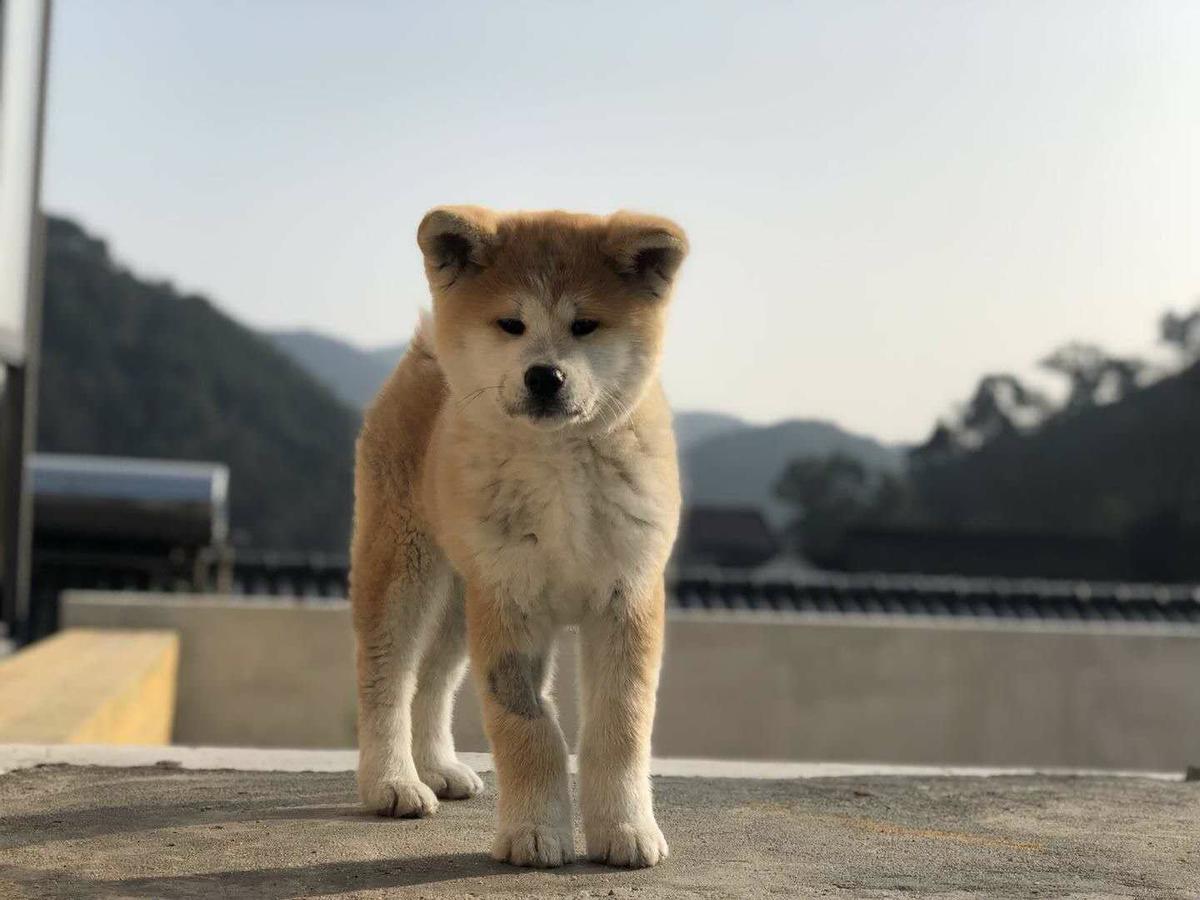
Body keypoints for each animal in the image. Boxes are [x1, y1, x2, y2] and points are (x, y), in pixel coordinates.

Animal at [350, 204, 686, 868]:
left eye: (585, 325)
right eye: (511, 323)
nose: (545, 375)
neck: (557, 466)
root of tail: (424, 352)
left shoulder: (626, 595)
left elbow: (621, 727)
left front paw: (626, 829)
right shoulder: (513, 603)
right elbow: (527, 729)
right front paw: (534, 833)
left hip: (462, 596)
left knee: (434, 679)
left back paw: (439, 768)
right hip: (405, 566)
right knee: (388, 676)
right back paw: (394, 782)